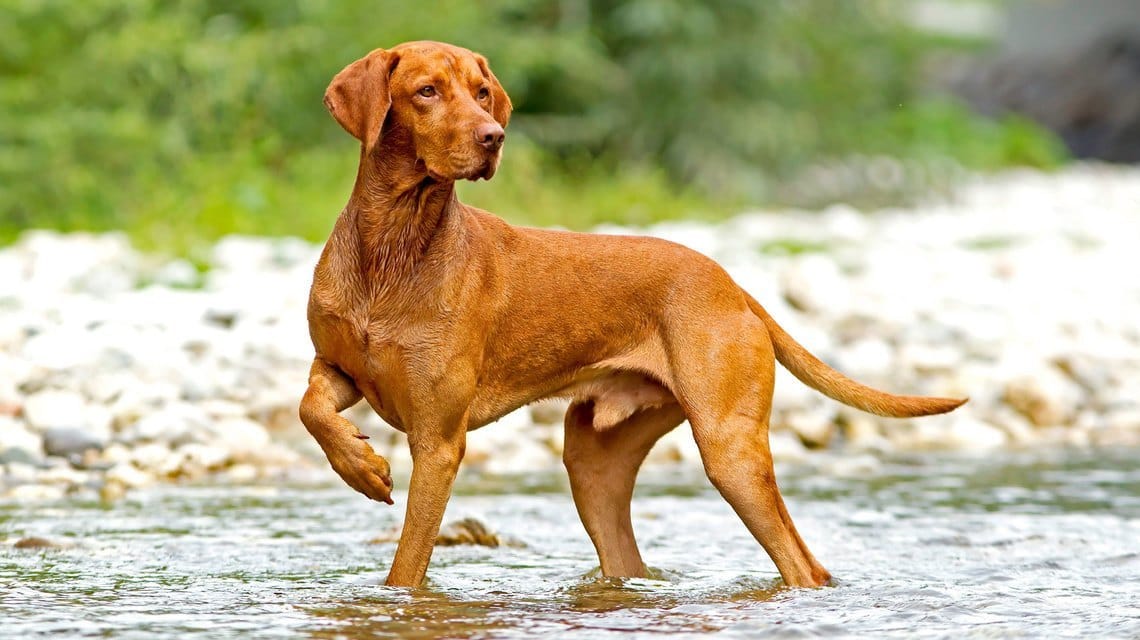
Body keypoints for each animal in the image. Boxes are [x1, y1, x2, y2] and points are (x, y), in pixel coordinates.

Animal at [298, 39, 966, 588]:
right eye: (426, 91)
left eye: (482, 92)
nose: (493, 136)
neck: (393, 248)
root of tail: (732, 285)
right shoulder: (339, 367)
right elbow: (310, 409)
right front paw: (360, 466)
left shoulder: (438, 441)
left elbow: (407, 567)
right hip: (594, 463)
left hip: (729, 449)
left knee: (804, 566)